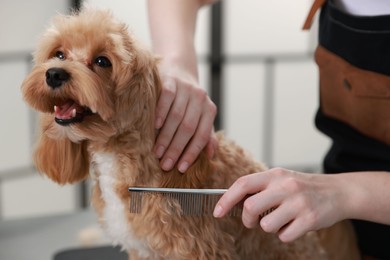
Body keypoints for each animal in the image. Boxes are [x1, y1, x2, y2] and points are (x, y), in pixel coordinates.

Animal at [21, 7, 358, 258]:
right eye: (59, 54)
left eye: (102, 61)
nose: (54, 74)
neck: (124, 154)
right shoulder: (144, 250)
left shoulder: (198, 248)